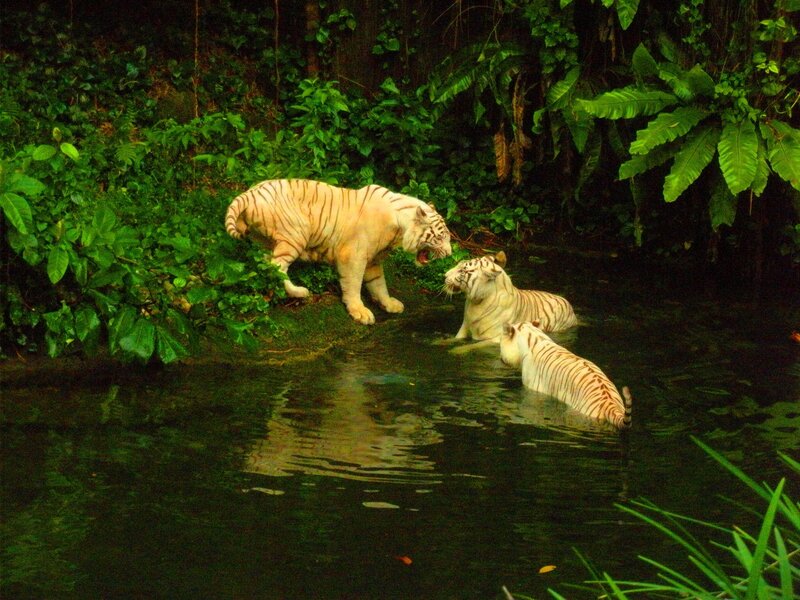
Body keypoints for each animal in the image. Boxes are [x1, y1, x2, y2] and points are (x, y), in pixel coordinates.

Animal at [225, 178, 452, 325]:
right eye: (440, 237)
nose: (450, 254)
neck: (399, 228)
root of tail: (248, 193)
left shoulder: (373, 260)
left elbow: (378, 284)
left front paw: (389, 304)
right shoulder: (354, 256)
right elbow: (354, 284)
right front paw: (360, 312)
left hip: (264, 240)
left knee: (265, 262)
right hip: (295, 235)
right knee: (276, 266)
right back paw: (299, 292)